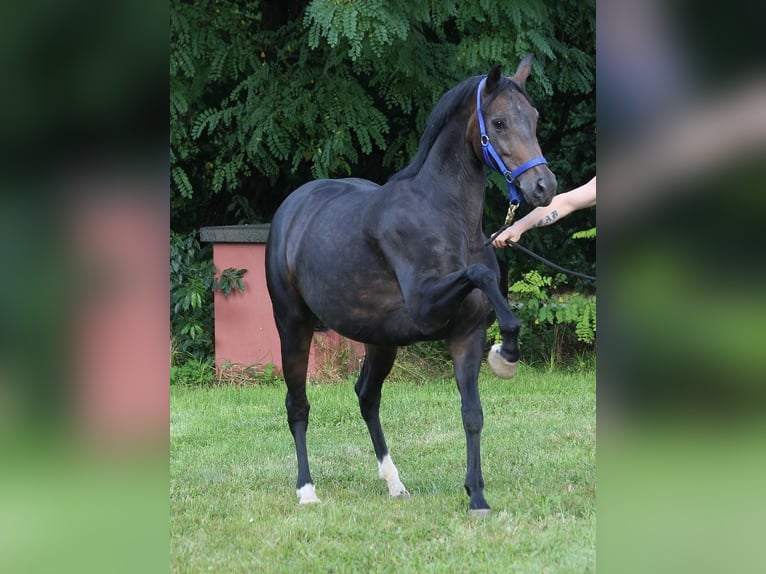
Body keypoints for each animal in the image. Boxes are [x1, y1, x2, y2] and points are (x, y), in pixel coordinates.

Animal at [268, 55, 556, 512]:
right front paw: (507, 354)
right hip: (292, 326)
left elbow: (472, 414)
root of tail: (293, 207)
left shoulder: (465, 335)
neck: (444, 216)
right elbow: (481, 276)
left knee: (367, 396)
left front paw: (477, 496)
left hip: (380, 340)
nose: (544, 187)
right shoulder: (426, 306)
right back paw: (307, 491)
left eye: (534, 117)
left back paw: (394, 483)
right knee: (298, 405)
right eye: (499, 122)